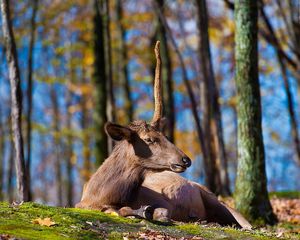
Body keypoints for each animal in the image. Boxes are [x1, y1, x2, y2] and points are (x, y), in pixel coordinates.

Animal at [76, 40, 252, 229]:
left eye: (166, 136)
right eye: (148, 139)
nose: (186, 159)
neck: (99, 194)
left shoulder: (162, 202)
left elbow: (157, 212)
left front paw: (148, 212)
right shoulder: (82, 204)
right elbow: (117, 210)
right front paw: (140, 211)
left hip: (213, 197)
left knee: (245, 223)